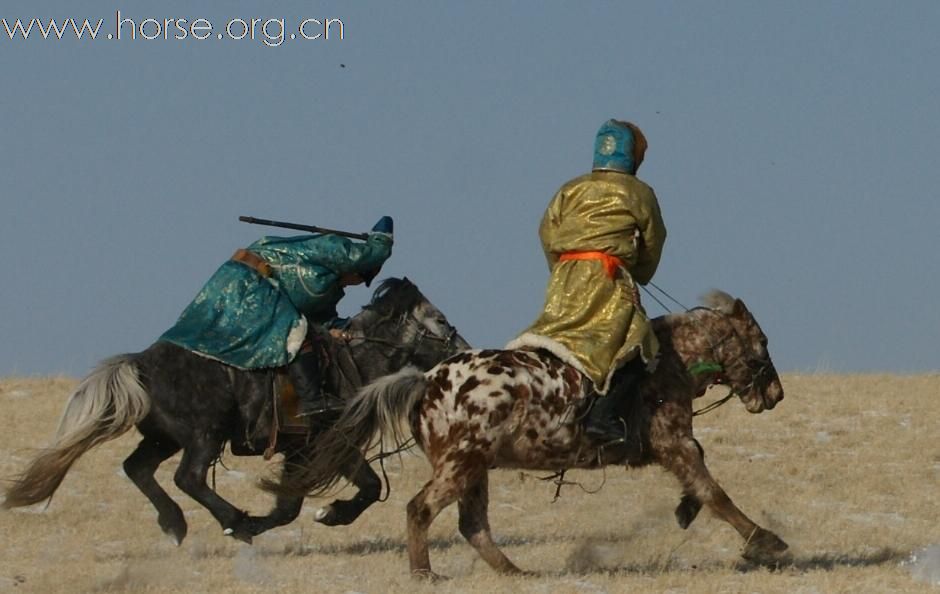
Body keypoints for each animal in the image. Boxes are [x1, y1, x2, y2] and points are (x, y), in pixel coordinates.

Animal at [2, 276, 466, 544]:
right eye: (441, 320)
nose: (464, 349)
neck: (351, 361)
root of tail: (140, 363)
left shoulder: (318, 447)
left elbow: (327, 497)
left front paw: (326, 514)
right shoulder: (320, 444)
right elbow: (327, 497)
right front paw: (309, 516)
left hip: (165, 437)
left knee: (138, 468)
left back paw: (175, 524)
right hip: (203, 435)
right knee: (188, 477)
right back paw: (232, 521)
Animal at [282, 290, 788, 576]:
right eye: (762, 342)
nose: (776, 393)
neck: (669, 359)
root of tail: (425, 382)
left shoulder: (671, 446)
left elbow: (699, 487)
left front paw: (687, 510)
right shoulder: (673, 441)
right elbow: (714, 491)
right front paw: (765, 543)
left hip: (475, 470)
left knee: (473, 526)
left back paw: (515, 573)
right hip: (460, 465)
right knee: (421, 509)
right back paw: (424, 573)